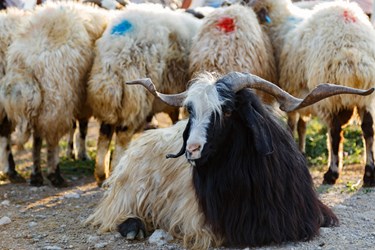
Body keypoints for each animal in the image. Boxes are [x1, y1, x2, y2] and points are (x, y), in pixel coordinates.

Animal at [0, 0, 108, 187]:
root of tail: (25, 59)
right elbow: (82, 128)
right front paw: (80, 154)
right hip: (56, 96)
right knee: (50, 138)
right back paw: (54, 174)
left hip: (43, 100)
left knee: (34, 137)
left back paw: (32, 175)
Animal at [87, 3, 203, 187]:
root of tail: (115, 54)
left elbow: (174, 115)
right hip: (135, 96)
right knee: (123, 134)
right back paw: (115, 170)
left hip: (108, 96)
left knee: (105, 132)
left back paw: (101, 174)